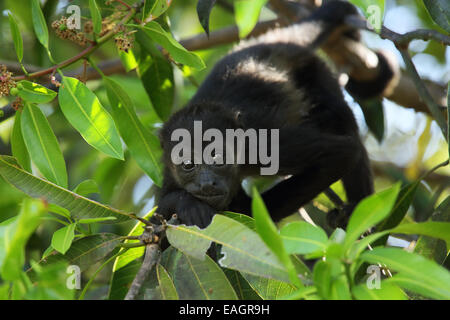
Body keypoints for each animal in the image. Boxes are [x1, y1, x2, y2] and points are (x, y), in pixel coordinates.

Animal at [155, 1, 380, 229]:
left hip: (314, 71)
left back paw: (355, 209)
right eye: (188, 165)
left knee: (340, 120)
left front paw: (236, 208)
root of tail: (271, 43)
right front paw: (187, 205)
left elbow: (342, 153)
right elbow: (161, 211)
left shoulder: (262, 145)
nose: (207, 184)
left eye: (218, 158)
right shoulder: (169, 170)